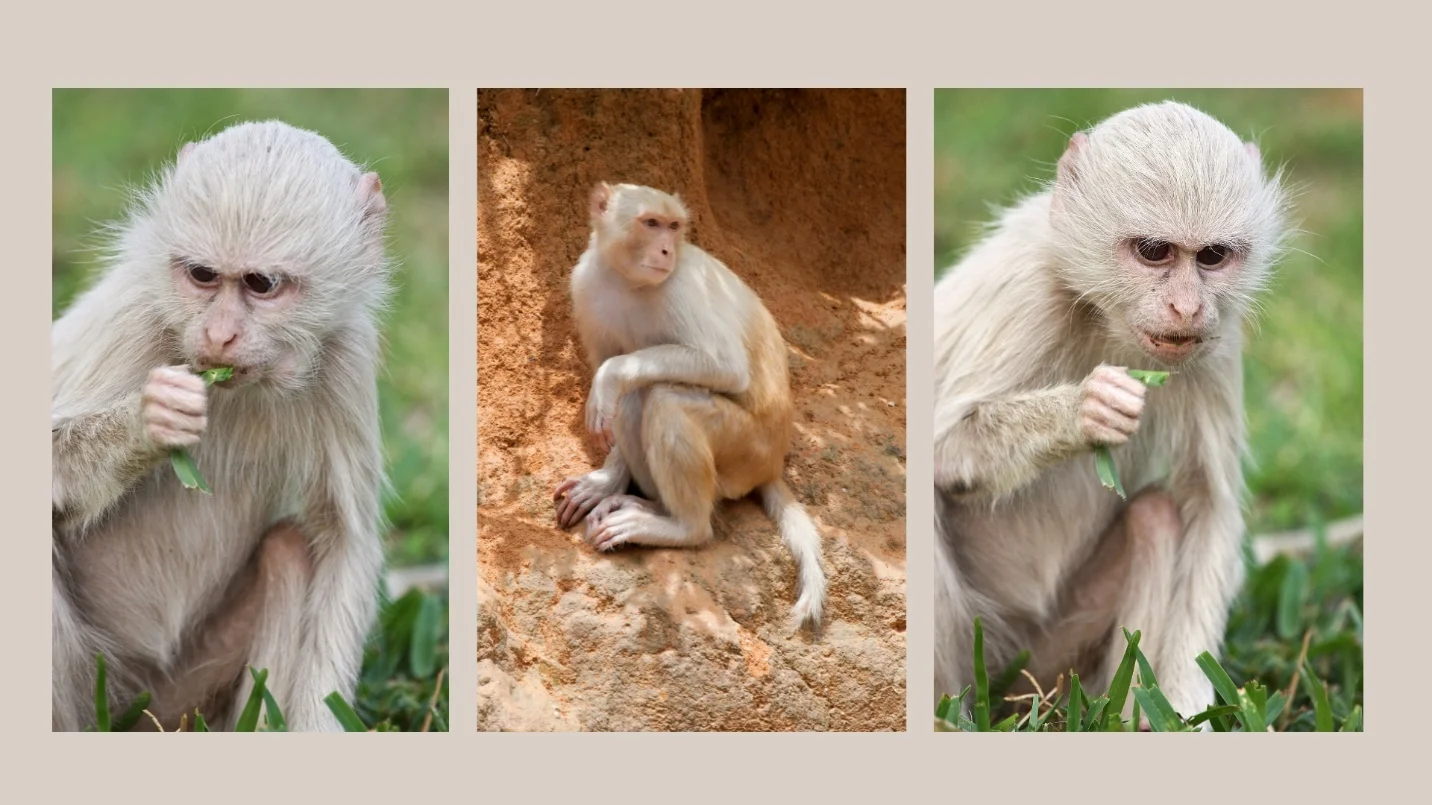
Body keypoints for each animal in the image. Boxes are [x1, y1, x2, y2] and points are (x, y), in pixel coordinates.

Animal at [51, 120, 392, 731]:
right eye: (204, 276)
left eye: (262, 284)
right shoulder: (134, 316)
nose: (219, 336)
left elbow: (345, 544)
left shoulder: (344, 355)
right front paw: (149, 423)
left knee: (287, 551)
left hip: (171, 698)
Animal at [551, 182, 827, 628]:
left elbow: (726, 368)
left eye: (674, 226)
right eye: (651, 223)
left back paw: (682, 527)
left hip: (744, 449)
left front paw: (610, 377)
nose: (667, 250)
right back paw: (645, 503)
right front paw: (604, 480)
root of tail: (772, 462)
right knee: (639, 398)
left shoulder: (682, 288)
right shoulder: (586, 286)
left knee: (660, 398)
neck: (628, 282)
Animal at [932, 101, 1291, 723]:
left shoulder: (1216, 340)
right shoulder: (1024, 292)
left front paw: (1185, 709)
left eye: (1212, 256)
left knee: (1155, 518)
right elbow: (936, 450)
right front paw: (1083, 412)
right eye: (1154, 251)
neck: (1100, 310)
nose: (1186, 307)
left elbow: (1209, 507)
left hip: (1045, 659)